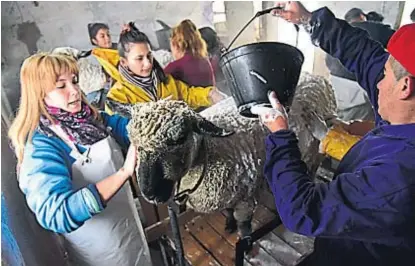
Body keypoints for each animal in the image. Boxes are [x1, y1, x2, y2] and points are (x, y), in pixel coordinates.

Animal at [127, 71, 338, 238]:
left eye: (179, 138)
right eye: (135, 145)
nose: (149, 193)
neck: (209, 150)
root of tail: (315, 76)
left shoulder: (245, 196)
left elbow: (243, 223)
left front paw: (245, 240)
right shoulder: (229, 192)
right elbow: (228, 212)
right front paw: (228, 225)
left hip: (314, 152)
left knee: (310, 170)